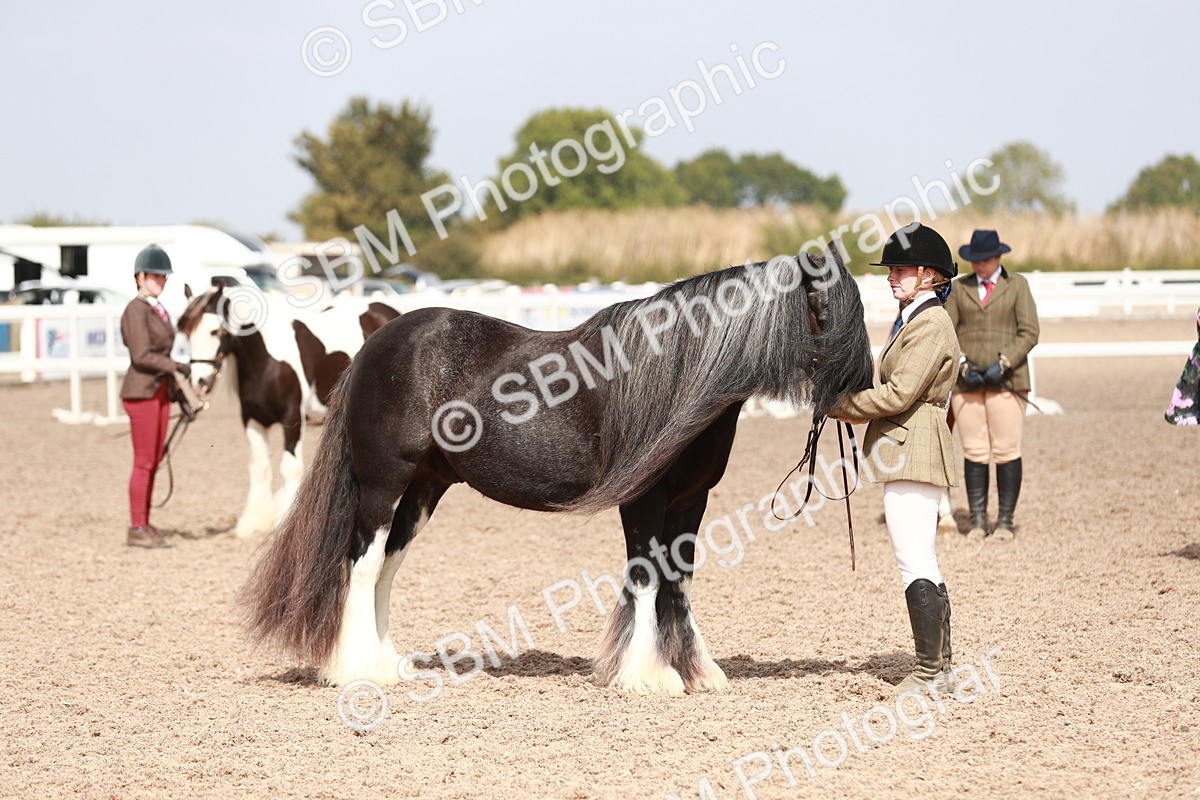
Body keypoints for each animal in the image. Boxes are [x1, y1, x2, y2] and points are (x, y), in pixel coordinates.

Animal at [177, 284, 400, 538]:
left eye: (215, 331)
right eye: (187, 332)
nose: (199, 382)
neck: (266, 360)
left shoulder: (292, 418)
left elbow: (290, 466)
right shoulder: (252, 420)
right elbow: (260, 467)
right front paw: (253, 522)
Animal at [243, 249, 874, 693]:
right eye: (824, 310)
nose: (864, 388)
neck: (678, 374)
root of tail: (377, 343)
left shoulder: (691, 501)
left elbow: (679, 580)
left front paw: (697, 671)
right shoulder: (643, 499)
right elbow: (646, 575)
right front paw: (646, 676)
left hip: (424, 490)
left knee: (385, 570)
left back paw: (387, 664)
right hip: (383, 486)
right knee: (363, 562)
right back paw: (355, 671)